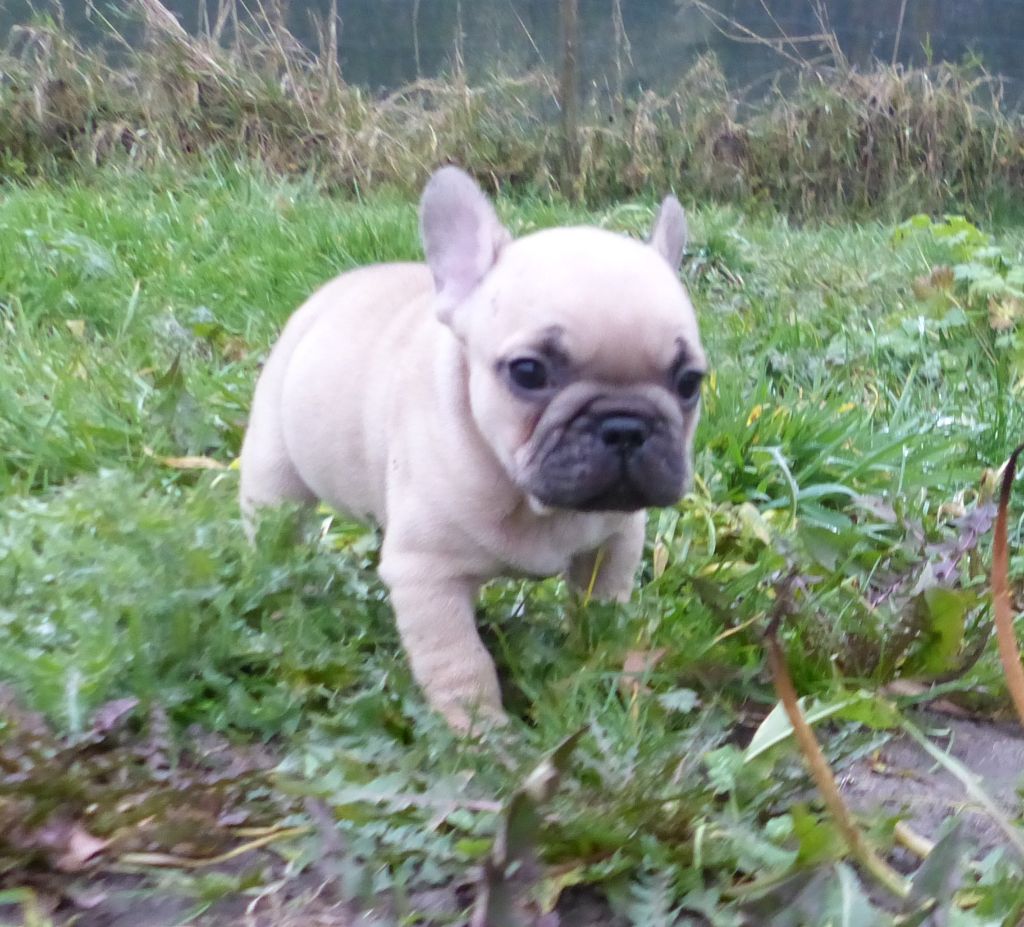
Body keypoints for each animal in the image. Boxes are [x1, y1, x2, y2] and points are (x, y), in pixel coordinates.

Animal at [239, 166, 706, 729]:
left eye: (689, 382)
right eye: (528, 372)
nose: (625, 425)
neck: (531, 499)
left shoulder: (614, 544)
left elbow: (602, 610)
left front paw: (603, 666)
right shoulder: (427, 575)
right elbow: (461, 662)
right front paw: (480, 731)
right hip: (274, 476)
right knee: (275, 534)